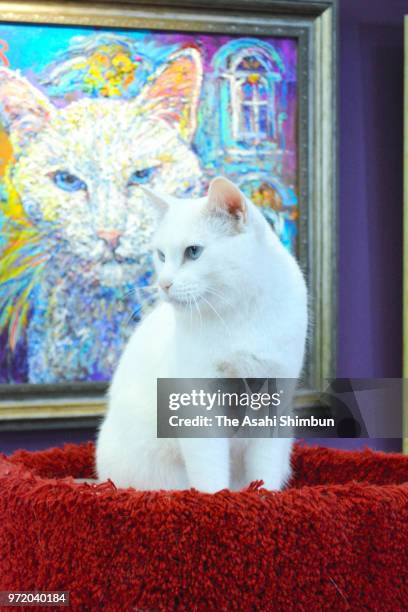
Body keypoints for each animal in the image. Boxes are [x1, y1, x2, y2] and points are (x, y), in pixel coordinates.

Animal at [96, 177, 306, 492]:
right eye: (161, 255)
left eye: (193, 252)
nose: (163, 283)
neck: (237, 315)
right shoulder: (198, 410)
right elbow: (210, 474)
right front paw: (216, 499)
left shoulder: (273, 403)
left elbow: (264, 471)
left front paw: (264, 497)